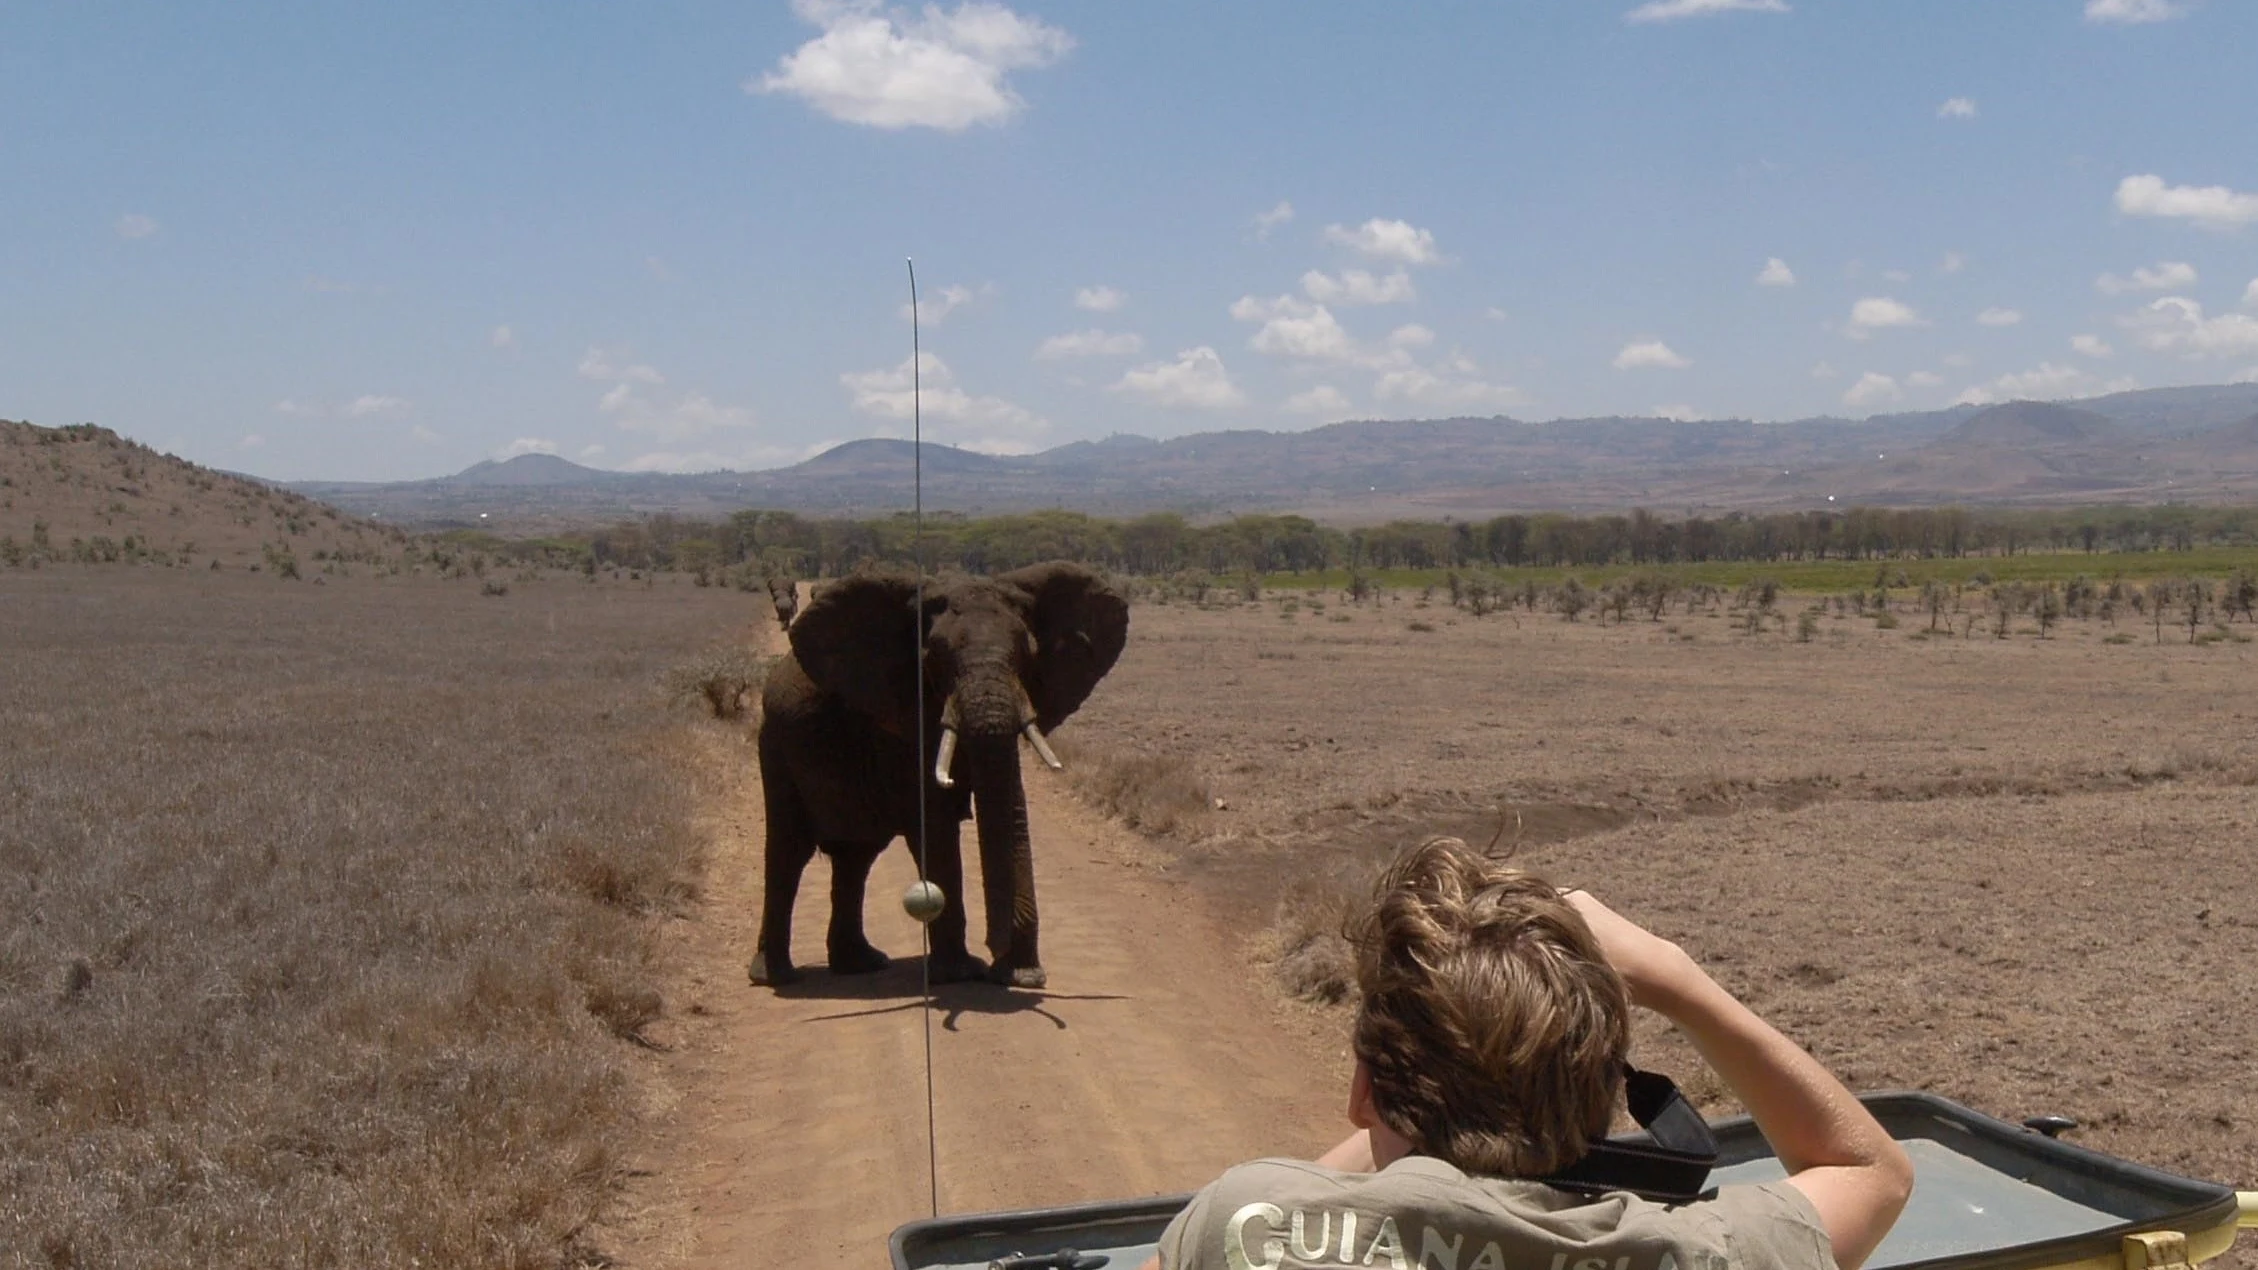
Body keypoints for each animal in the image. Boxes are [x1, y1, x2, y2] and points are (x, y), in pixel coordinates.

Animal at [745, 558, 1124, 985]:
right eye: (935, 658)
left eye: (1029, 655)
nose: (996, 956)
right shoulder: (904, 721)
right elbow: (934, 820)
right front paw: (962, 973)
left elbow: (1011, 804)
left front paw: (1022, 975)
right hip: (775, 744)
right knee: (790, 851)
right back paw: (775, 976)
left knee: (856, 855)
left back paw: (860, 963)